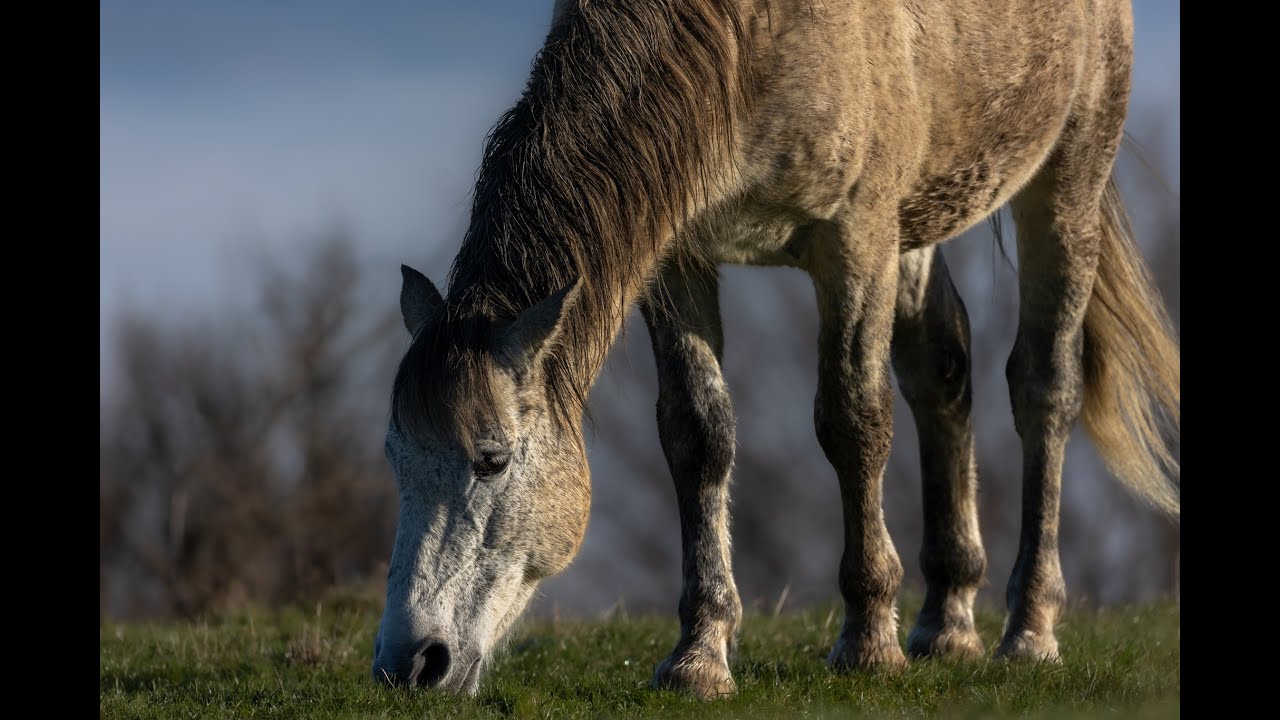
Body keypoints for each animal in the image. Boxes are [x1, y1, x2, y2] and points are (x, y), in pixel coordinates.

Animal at [371, 0, 1179, 699]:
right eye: (394, 459)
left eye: (493, 459)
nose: (409, 663)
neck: (747, 39)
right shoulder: (680, 256)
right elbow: (697, 435)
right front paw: (699, 657)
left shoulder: (855, 239)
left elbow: (853, 424)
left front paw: (868, 642)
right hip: (921, 220)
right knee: (942, 369)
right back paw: (946, 624)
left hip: (1069, 173)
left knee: (1043, 385)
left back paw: (1028, 631)